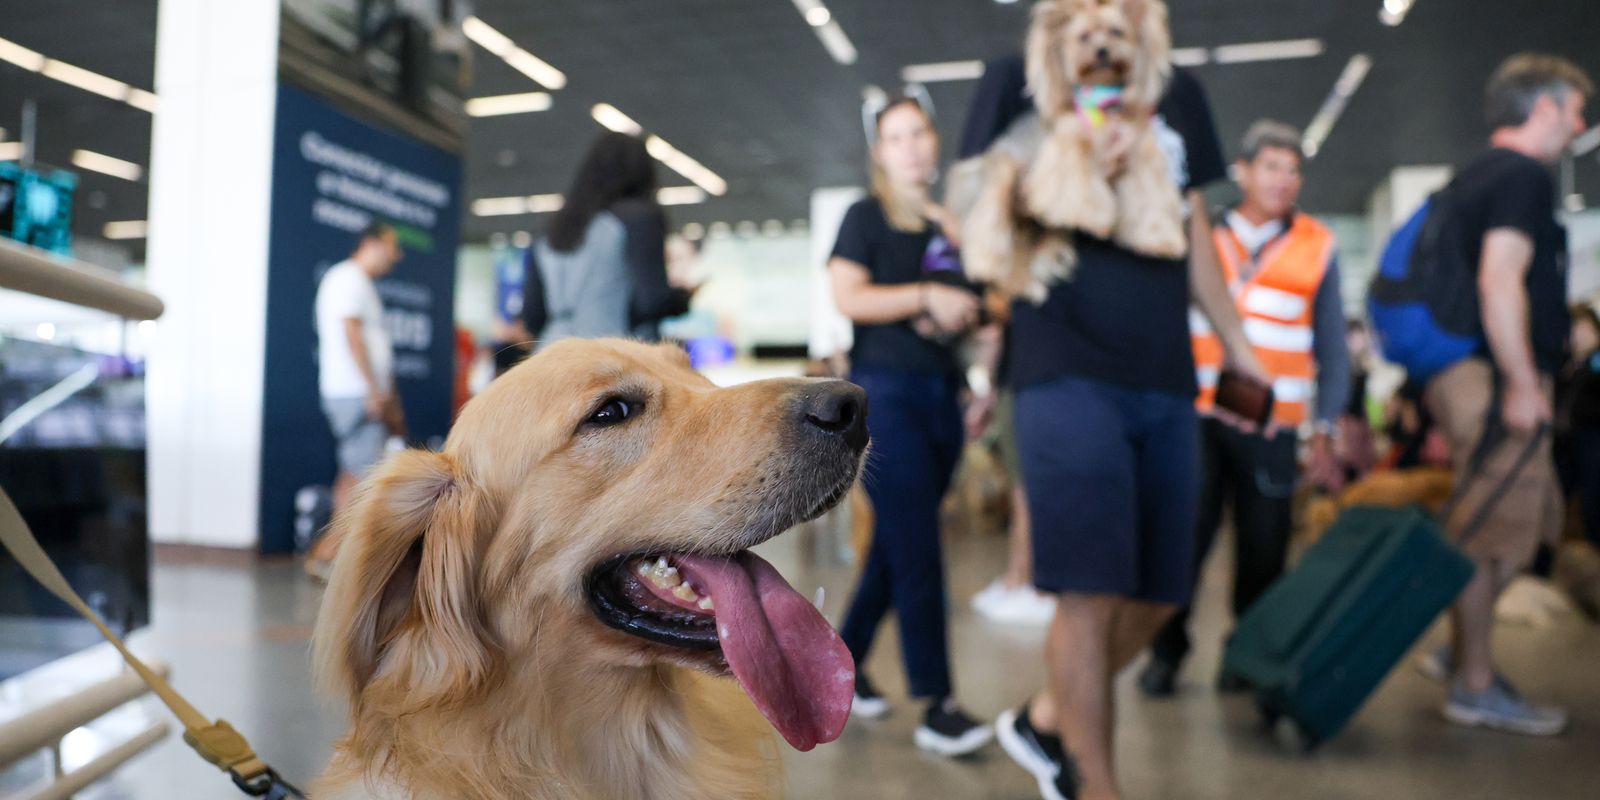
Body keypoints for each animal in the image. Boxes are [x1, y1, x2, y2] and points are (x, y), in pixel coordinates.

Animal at [953, 0, 1184, 300]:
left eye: (1117, 32)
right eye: (1083, 37)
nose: (1102, 51)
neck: (1102, 99)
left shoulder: (1138, 154)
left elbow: (1151, 196)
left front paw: (1160, 239)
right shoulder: (1070, 143)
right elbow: (1077, 184)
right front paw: (1091, 216)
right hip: (1003, 170)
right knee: (990, 216)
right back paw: (989, 263)